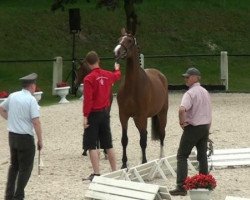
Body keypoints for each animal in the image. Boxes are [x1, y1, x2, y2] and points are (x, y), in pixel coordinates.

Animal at [114, 28, 169, 169]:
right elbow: (124, 139)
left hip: (162, 113)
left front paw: (144, 162)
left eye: (129, 40)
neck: (132, 87)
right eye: (119, 39)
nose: (116, 52)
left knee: (161, 133)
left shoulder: (142, 116)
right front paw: (124, 164)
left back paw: (162, 158)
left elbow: (143, 140)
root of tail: (160, 75)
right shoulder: (123, 115)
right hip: (137, 119)